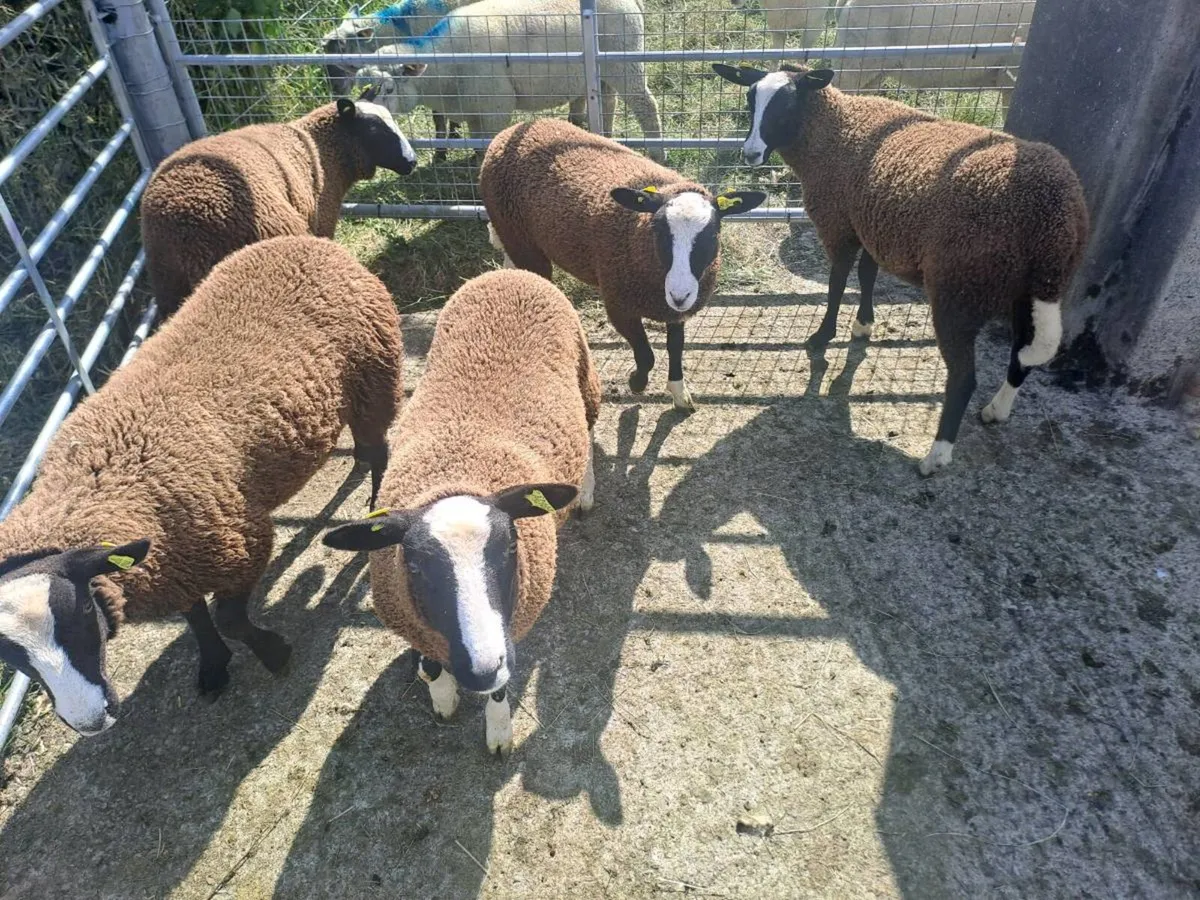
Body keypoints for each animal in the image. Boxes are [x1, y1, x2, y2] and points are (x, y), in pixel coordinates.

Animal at [0, 235, 404, 735]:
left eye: (82, 615)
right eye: (10, 653)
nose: (90, 721)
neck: (101, 484)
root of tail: (308, 241)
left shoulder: (238, 544)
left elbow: (228, 619)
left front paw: (274, 654)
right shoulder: (177, 558)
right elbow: (195, 617)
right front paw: (213, 667)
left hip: (374, 376)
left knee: (379, 450)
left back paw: (374, 509)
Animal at [322, 268, 600, 757]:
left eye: (511, 549)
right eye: (414, 566)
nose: (481, 668)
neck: (458, 472)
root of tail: (508, 271)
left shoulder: (510, 633)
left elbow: (501, 690)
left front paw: (498, 734)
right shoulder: (417, 624)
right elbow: (434, 668)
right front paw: (442, 698)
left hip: (584, 378)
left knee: (587, 435)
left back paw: (583, 492)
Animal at [353, 0, 664, 162]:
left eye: (389, 88)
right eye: (365, 88)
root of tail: (632, 3)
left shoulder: (495, 107)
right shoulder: (474, 111)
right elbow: (479, 145)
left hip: (624, 61)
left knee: (645, 105)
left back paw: (658, 153)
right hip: (602, 71)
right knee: (608, 101)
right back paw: (608, 140)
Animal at [479, 118, 765, 411]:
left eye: (713, 234)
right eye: (658, 231)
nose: (680, 294)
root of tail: (515, 128)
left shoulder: (675, 311)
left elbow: (676, 347)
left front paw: (679, 392)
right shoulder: (620, 306)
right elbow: (647, 355)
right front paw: (636, 382)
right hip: (520, 239)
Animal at [714, 63, 1088, 475]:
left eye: (787, 103)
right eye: (751, 99)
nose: (750, 153)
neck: (832, 132)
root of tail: (1054, 223)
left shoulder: (838, 223)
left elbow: (837, 280)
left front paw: (822, 335)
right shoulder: (869, 222)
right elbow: (867, 276)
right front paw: (863, 325)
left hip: (960, 289)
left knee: (964, 379)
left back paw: (937, 455)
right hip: (1025, 290)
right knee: (1022, 354)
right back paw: (996, 410)